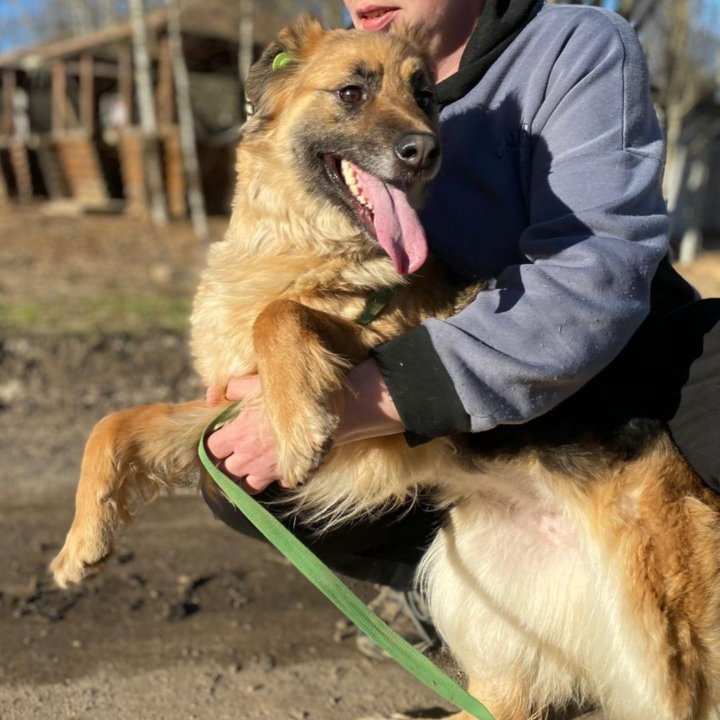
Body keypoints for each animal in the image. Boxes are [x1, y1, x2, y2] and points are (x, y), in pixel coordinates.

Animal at [50, 16, 720, 720]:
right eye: (352, 92)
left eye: (424, 97)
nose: (423, 151)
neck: (299, 243)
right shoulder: (229, 404)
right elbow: (115, 423)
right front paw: (81, 542)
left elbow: (281, 315)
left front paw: (298, 424)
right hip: (476, 590)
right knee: (498, 701)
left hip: (656, 643)